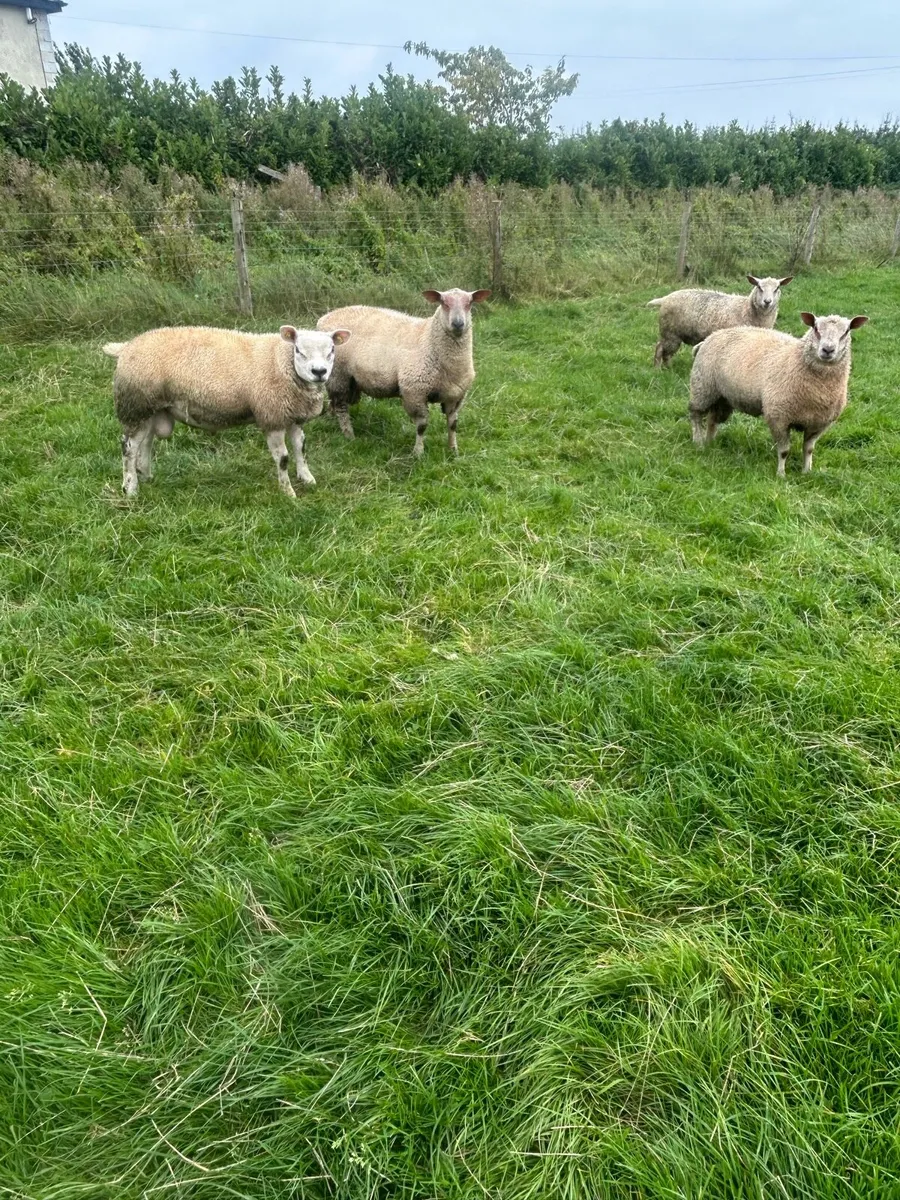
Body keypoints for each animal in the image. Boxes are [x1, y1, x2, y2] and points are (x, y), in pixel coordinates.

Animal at [103, 324, 350, 498]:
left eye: (332, 350)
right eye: (298, 350)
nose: (319, 372)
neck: (282, 363)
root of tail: (125, 347)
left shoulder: (292, 416)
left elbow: (301, 448)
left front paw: (307, 478)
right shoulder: (271, 416)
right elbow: (283, 459)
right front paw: (288, 492)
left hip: (149, 407)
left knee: (145, 442)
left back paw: (145, 475)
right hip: (135, 405)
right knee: (128, 448)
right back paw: (130, 488)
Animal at [316, 288, 491, 457]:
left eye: (469, 303)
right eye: (444, 303)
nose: (458, 323)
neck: (428, 339)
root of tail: (324, 318)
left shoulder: (456, 396)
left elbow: (453, 424)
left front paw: (453, 450)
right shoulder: (414, 391)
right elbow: (422, 426)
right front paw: (418, 453)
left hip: (349, 380)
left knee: (336, 402)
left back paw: (332, 420)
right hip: (338, 374)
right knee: (341, 406)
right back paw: (349, 435)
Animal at [648, 275, 793, 367]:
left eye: (777, 288)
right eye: (759, 287)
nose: (767, 302)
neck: (746, 309)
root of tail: (665, 298)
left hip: (671, 333)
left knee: (664, 351)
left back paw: (667, 368)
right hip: (671, 332)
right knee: (661, 349)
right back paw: (659, 369)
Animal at [688, 311, 869, 476]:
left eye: (846, 331)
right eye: (816, 328)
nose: (828, 350)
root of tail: (709, 338)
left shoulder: (818, 424)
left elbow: (808, 449)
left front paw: (806, 472)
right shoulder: (779, 417)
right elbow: (784, 451)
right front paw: (781, 475)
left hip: (722, 398)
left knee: (712, 419)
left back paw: (710, 443)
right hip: (702, 387)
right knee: (695, 414)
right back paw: (698, 443)